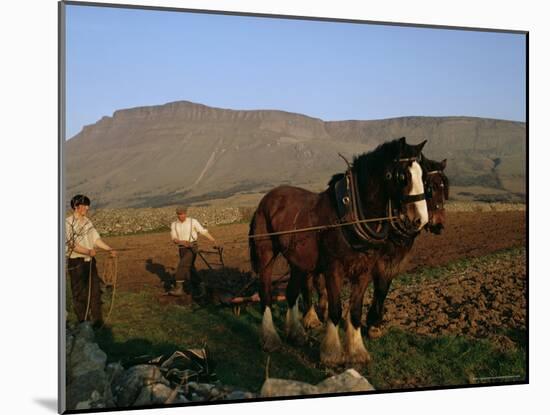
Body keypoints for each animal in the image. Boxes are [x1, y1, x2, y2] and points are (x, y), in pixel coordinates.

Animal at [250, 138, 432, 366]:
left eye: (423, 175)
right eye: (402, 176)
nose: (420, 220)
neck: (352, 215)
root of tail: (267, 199)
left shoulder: (364, 271)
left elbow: (355, 310)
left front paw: (356, 351)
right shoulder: (333, 269)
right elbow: (335, 309)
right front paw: (331, 353)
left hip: (298, 261)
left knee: (291, 293)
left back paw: (297, 334)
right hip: (266, 253)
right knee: (265, 292)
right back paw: (270, 338)